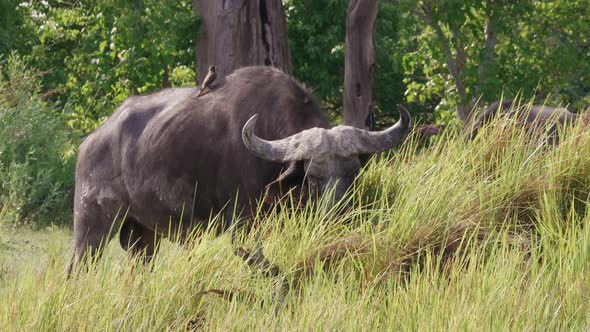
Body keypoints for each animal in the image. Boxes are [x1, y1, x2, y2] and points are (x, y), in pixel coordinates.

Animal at [73, 65, 412, 268]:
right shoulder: (242, 224)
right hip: (91, 228)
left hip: (141, 235)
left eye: (352, 172)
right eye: (313, 176)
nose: (340, 212)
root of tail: (91, 142)